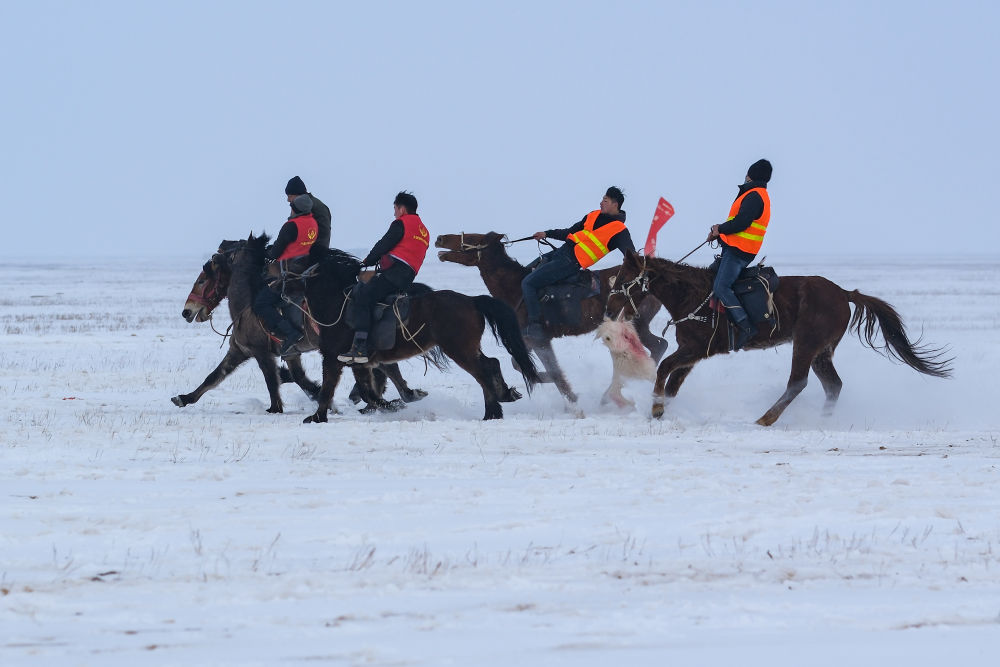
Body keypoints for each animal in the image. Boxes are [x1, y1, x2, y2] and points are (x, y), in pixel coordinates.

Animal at [176, 237, 426, 414]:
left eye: (202, 280)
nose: (187, 311)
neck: (248, 304)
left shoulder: (262, 352)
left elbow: (272, 381)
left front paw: (277, 407)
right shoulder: (251, 351)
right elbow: (214, 376)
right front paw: (184, 398)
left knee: (383, 369)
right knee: (386, 368)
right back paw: (403, 396)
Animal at [262, 235, 544, 422]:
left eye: (293, 263)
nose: (269, 284)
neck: (336, 301)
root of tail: (472, 300)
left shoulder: (332, 357)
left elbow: (329, 388)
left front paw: (317, 417)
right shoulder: (358, 361)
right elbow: (368, 391)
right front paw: (393, 404)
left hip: (459, 349)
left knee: (483, 371)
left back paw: (492, 412)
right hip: (466, 347)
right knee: (491, 363)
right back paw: (503, 397)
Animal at [434, 232, 668, 404]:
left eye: (474, 239)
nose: (440, 238)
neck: (516, 288)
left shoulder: (539, 339)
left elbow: (552, 371)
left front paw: (572, 398)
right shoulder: (528, 339)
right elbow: (521, 365)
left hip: (636, 323)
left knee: (657, 346)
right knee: (659, 345)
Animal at [608, 250, 952, 428]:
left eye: (624, 278)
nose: (610, 307)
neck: (691, 294)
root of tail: (843, 293)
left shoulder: (695, 349)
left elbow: (665, 368)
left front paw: (657, 409)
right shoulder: (692, 353)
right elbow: (674, 381)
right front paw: (665, 408)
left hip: (806, 344)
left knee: (798, 382)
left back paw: (766, 418)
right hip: (821, 351)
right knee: (833, 385)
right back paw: (823, 420)